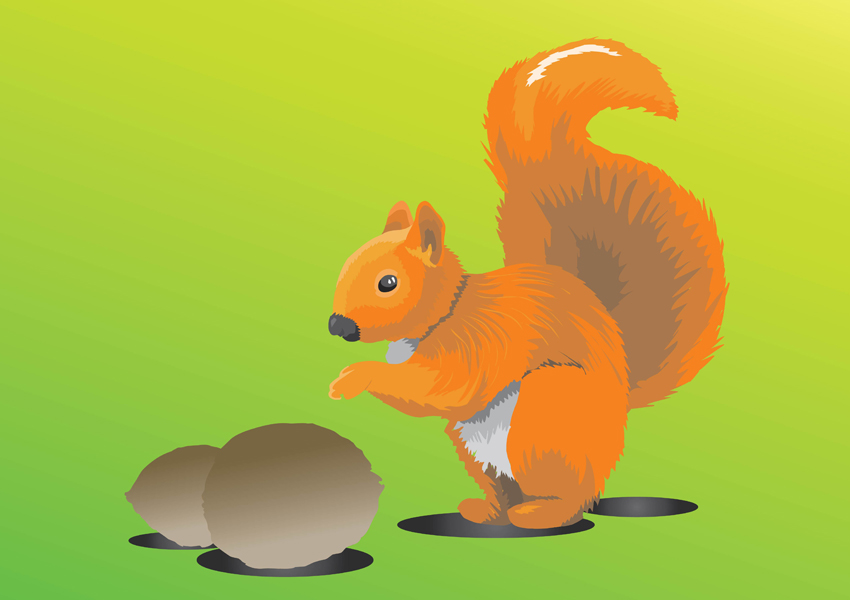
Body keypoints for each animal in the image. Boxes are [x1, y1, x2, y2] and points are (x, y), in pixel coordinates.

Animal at [327, 39, 727, 529]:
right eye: (347, 265)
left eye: (389, 282)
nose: (338, 326)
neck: (448, 311)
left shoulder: (480, 340)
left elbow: (443, 387)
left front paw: (355, 376)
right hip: (475, 447)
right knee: (503, 490)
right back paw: (487, 511)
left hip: (548, 411)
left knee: (572, 499)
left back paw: (542, 513)